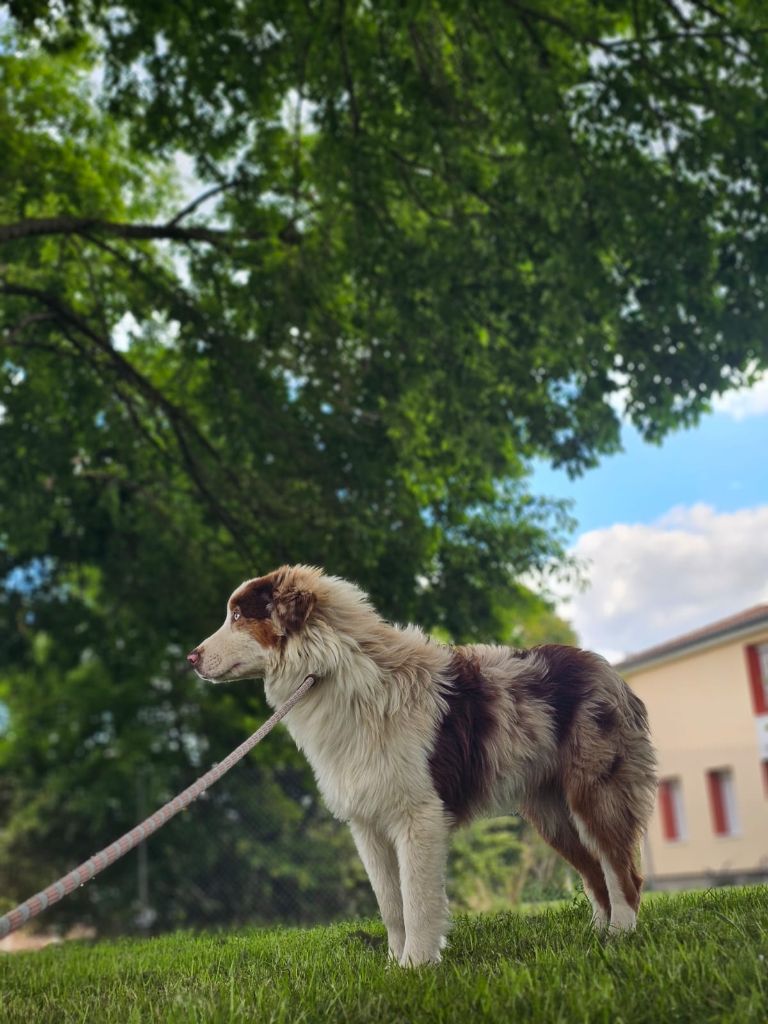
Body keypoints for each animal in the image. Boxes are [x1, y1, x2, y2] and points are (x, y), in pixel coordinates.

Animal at [189, 565, 659, 962]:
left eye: (238, 615)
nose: (190, 658)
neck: (334, 670)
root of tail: (610, 672)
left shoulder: (418, 816)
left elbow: (416, 900)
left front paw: (417, 966)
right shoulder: (368, 824)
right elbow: (390, 904)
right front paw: (394, 965)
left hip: (595, 794)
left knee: (622, 872)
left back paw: (620, 937)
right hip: (554, 815)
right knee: (595, 873)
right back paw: (596, 937)